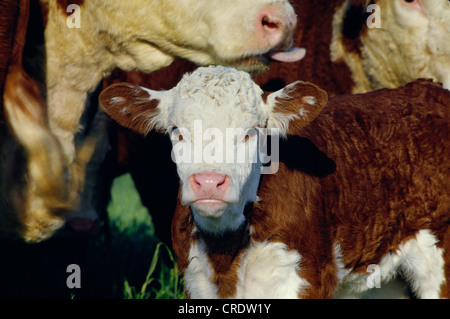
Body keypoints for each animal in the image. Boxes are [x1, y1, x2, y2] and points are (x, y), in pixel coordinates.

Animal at [100, 67, 448, 300]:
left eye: (251, 131)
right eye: (176, 130)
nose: (209, 182)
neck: (226, 251)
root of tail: (425, 88)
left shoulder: (303, 278)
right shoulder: (197, 281)